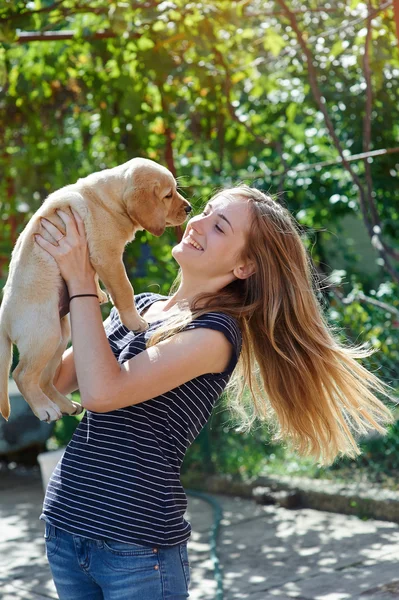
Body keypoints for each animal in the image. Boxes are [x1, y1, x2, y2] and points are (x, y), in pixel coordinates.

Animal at [0, 157, 192, 424]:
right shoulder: (108, 257)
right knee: (22, 375)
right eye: (168, 195)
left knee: (45, 380)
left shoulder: (96, 257)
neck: (107, 200)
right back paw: (44, 408)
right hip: (45, 335)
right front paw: (135, 321)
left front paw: (100, 294)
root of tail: (3, 318)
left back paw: (65, 405)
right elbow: (124, 289)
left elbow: (93, 275)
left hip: (60, 337)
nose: (190, 208)